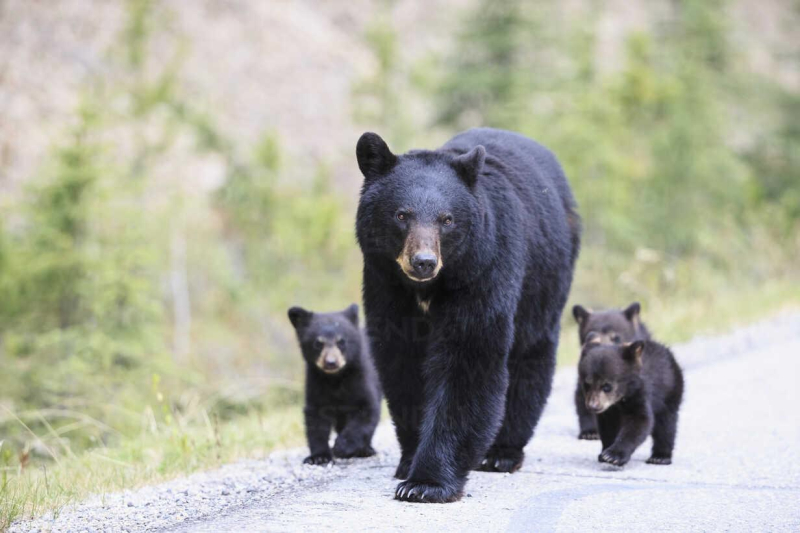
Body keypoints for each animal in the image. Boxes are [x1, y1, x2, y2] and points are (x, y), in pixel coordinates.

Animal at [290, 304, 382, 466]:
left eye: (341, 341)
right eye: (318, 343)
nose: (331, 362)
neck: (335, 379)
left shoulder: (362, 379)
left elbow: (366, 412)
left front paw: (341, 447)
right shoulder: (315, 385)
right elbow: (316, 421)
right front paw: (318, 456)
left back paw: (365, 449)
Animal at [354, 127, 580, 500]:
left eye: (447, 219)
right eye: (402, 215)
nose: (424, 262)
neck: (430, 287)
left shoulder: (483, 269)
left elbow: (468, 356)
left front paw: (426, 482)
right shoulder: (385, 282)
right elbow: (402, 361)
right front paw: (410, 459)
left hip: (545, 274)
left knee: (530, 355)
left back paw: (502, 453)